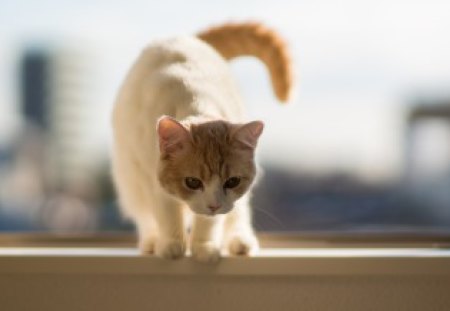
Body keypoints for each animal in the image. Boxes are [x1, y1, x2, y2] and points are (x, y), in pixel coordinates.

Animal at [111, 21, 292, 264]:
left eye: (232, 181)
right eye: (192, 182)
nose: (214, 205)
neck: (197, 103)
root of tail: (186, 38)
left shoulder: (222, 203)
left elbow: (209, 223)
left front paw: (204, 248)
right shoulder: (154, 179)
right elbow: (167, 213)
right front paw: (172, 245)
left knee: (238, 215)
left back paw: (240, 242)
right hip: (131, 179)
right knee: (144, 215)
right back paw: (151, 241)